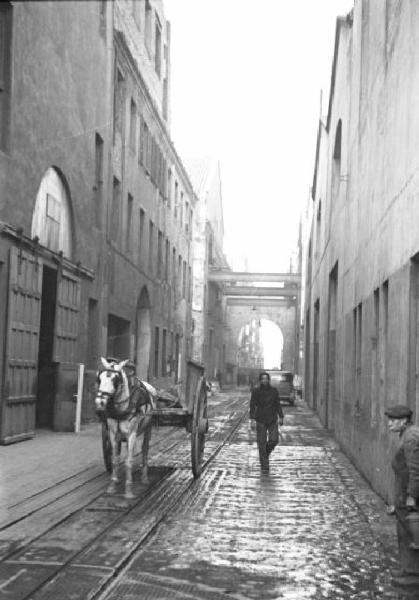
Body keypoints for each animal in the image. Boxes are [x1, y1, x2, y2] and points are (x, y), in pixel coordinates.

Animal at [94, 356, 155, 496]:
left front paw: (128, 490)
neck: (122, 408)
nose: (100, 402)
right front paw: (112, 486)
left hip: (148, 428)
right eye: (99, 378)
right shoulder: (113, 434)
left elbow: (128, 461)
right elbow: (115, 459)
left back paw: (144, 478)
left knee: (144, 450)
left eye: (115, 380)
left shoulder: (131, 434)